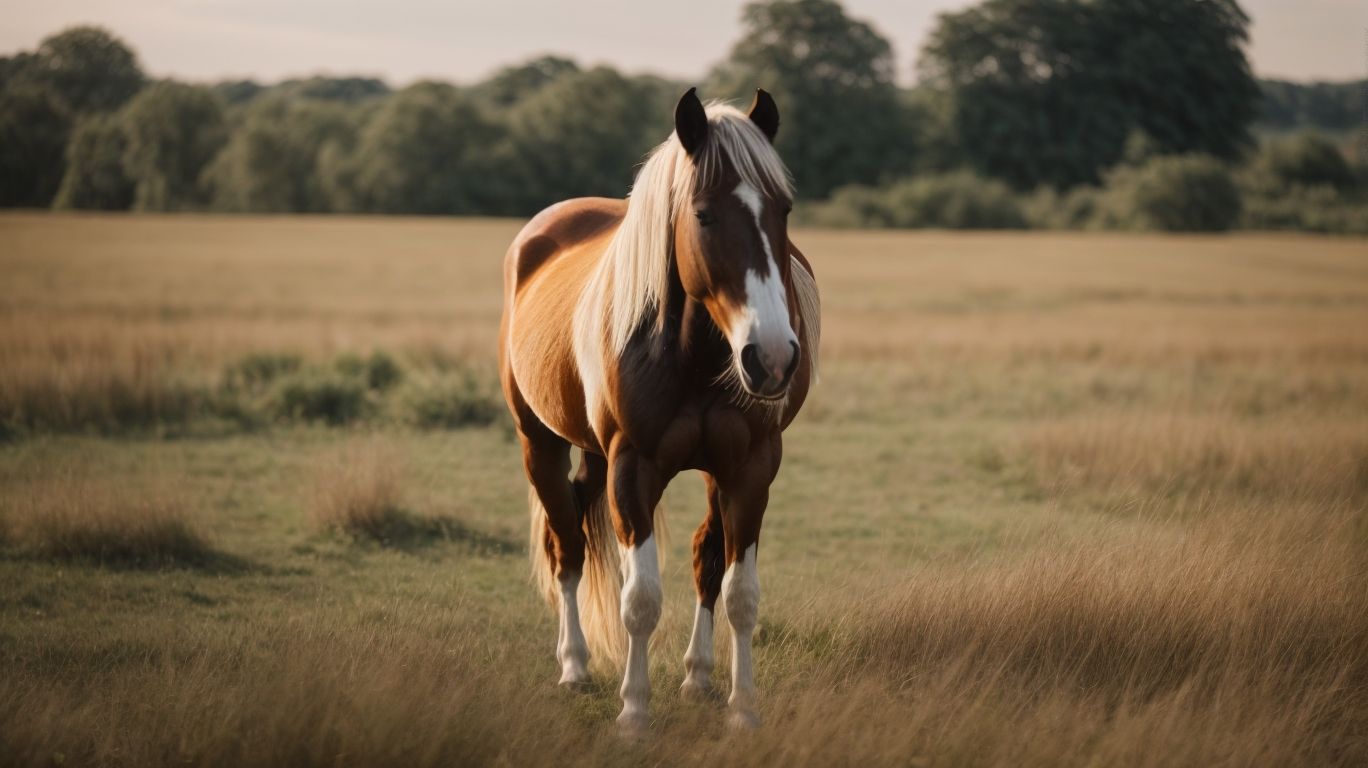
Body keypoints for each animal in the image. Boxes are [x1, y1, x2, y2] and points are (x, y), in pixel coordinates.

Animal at [498, 87, 820, 731]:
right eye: (703, 214)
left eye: (784, 209)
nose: (773, 357)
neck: (691, 355)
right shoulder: (632, 466)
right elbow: (640, 599)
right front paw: (634, 712)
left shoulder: (750, 467)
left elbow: (738, 592)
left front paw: (742, 710)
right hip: (539, 443)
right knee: (567, 548)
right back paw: (575, 667)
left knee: (702, 558)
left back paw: (697, 677)